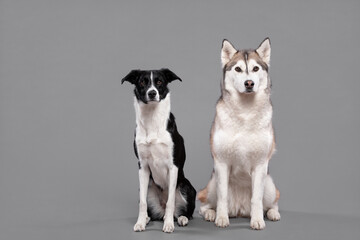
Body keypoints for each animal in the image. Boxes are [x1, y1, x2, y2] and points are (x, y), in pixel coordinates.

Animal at [121, 68, 195, 232]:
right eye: (142, 82)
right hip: (148, 187)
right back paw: (149, 218)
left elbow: (170, 201)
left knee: (182, 211)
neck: (152, 118)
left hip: (186, 186)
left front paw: (169, 225)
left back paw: (179, 219)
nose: (152, 93)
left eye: (160, 82)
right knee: (151, 210)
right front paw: (140, 223)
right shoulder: (142, 166)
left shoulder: (173, 166)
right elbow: (142, 203)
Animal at [197, 38, 282, 230]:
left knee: (271, 202)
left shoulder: (260, 165)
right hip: (212, 184)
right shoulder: (221, 163)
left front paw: (257, 220)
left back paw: (272, 213)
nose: (249, 83)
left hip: (269, 185)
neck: (245, 113)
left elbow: (256, 198)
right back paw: (211, 213)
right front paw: (221, 218)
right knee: (205, 204)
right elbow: (222, 197)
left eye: (256, 68)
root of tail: (239, 211)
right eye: (238, 69)